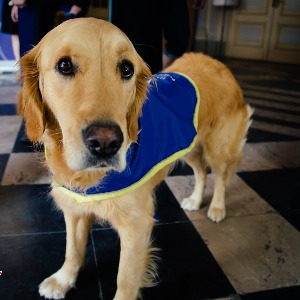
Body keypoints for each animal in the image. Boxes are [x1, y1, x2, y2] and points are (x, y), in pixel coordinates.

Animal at [17, 18, 252, 300]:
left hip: (217, 145)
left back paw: (216, 208)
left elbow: (125, 280)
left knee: (222, 175)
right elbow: (72, 250)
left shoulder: (137, 225)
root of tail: (218, 63)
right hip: (190, 146)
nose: (106, 143)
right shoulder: (74, 208)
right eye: (64, 65)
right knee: (201, 172)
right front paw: (63, 280)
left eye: (127, 69)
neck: (92, 179)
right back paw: (195, 200)